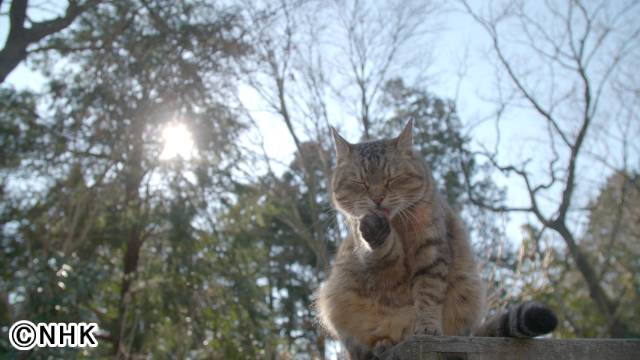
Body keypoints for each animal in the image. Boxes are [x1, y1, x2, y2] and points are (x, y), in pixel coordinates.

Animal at [316, 121, 556, 360]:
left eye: (392, 179)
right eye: (361, 183)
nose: (377, 198)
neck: (399, 225)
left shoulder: (431, 252)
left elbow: (428, 294)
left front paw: (427, 327)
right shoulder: (377, 260)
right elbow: (385, 252)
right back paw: (382, 345)